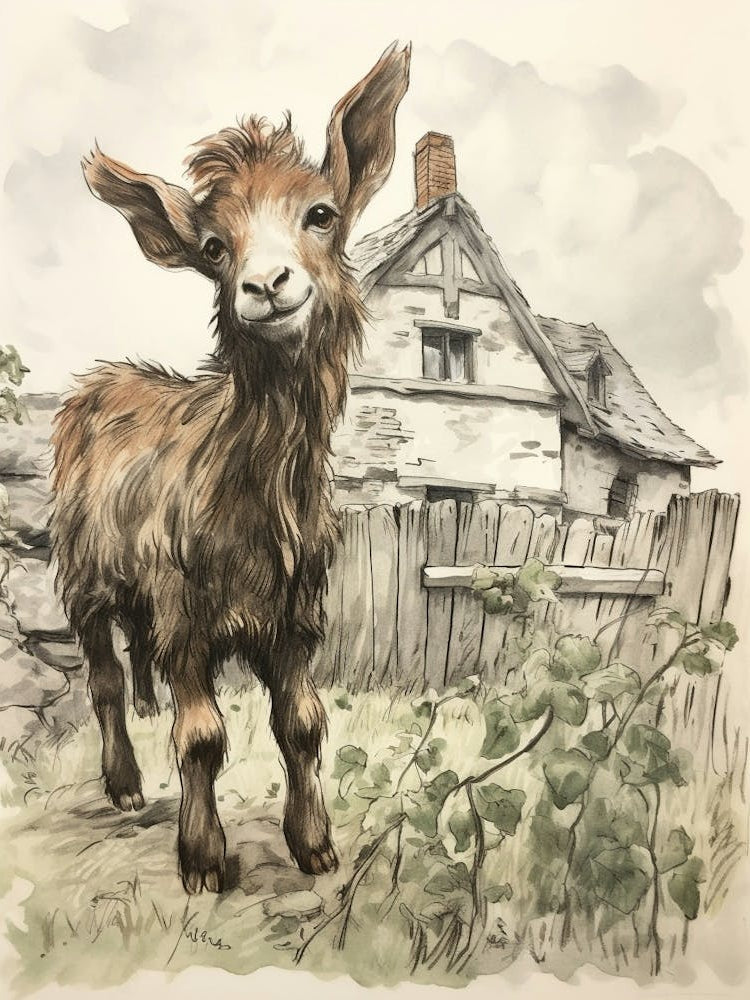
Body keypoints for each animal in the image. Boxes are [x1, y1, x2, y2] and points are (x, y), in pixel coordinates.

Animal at [50, 43, 410, 893]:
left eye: (321, 214)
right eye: (215, 248)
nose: (266, 285)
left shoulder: (296, 616)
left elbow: (302, 723)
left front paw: (314, 846)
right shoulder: (185, 612)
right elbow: (203, 737)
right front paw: (204, 860)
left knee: (133, 662)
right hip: (83, 572)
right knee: (104, 677)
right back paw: (123, 783)